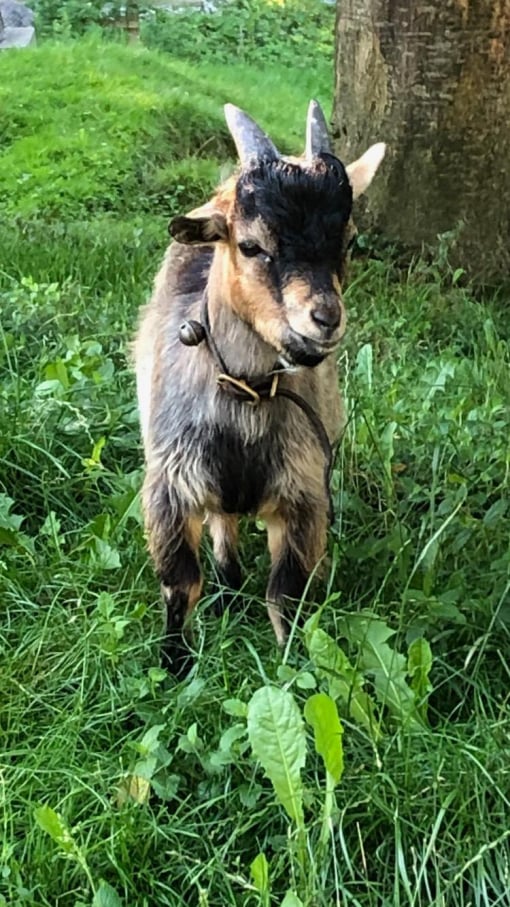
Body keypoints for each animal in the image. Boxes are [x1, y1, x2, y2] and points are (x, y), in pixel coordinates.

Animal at [134, 101, 385, 676]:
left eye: (347, 240)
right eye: (251, 245)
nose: (324, 318)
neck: (245, 399)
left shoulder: (305, 493)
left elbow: (286, 594)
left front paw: (293, 665)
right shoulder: (170, 485)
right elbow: (180, 585)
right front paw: (174, 666)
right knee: (223, 524)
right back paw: (227, 591)